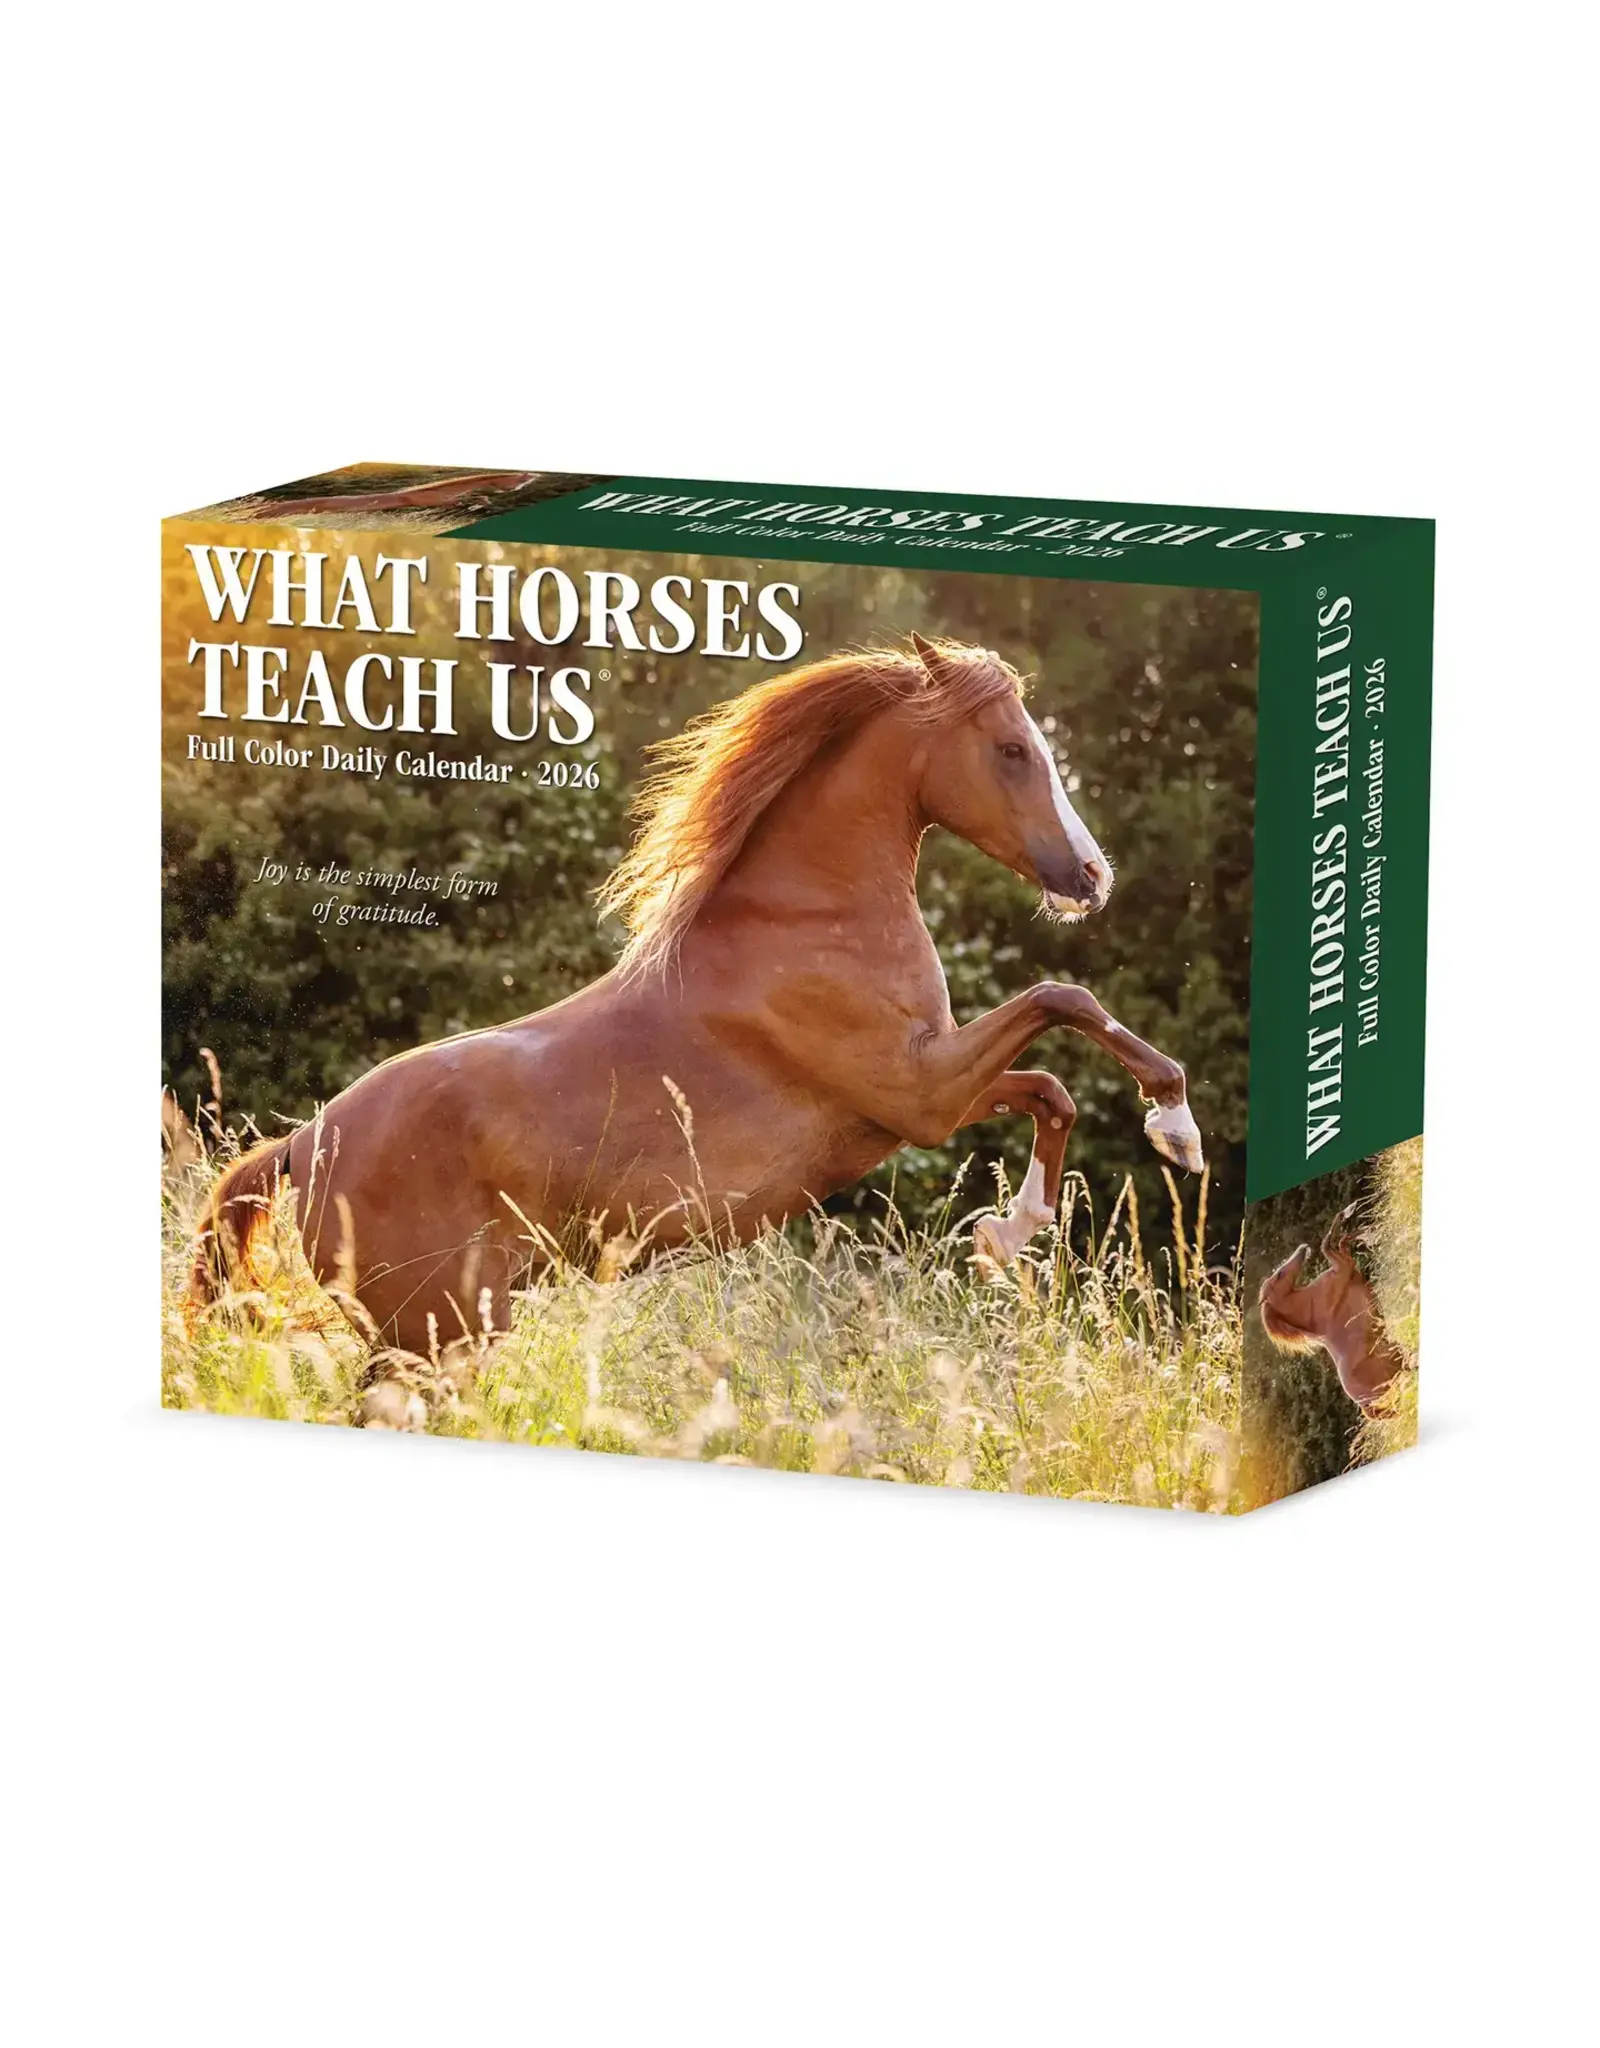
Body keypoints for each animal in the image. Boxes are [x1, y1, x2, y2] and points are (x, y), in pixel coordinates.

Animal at [192, 633, 1204, 1355]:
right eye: (1011, 750)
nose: (1092, 877)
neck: (808, 917)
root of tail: (301, 1144)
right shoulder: (921, 1096)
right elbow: (1062, 1003)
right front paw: (1173, 1130)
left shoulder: (921, 1095)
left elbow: (1051, 1084)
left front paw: (1006, 1234)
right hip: (445, 1330)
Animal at [1257, 1203, 1409, 1415]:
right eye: (1279, 1275)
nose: (1303, 1248)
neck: (1311, 1305)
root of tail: (1364, 1406)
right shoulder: (1344, 1268)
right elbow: (1328, 1243)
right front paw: (1354, 1216)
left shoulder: (1346, 1266)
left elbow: (1340, 1241)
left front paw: (1366, 1231)